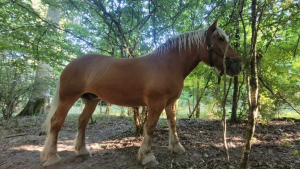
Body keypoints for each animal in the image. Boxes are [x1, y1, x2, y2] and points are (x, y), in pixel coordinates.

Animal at [39, 17, 243, 166]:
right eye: (220, 39)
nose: (238, 65)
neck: (169, 64)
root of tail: (69, 65)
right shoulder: (156, 103)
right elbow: (150, 127)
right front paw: (147, 156)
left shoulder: (170, 103)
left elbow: (173, 124)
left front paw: (176, 147)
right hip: (67, 98)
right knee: (56, 123)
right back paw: (51, 157)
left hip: (91, 100)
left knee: (82, 122)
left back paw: (81, 150)